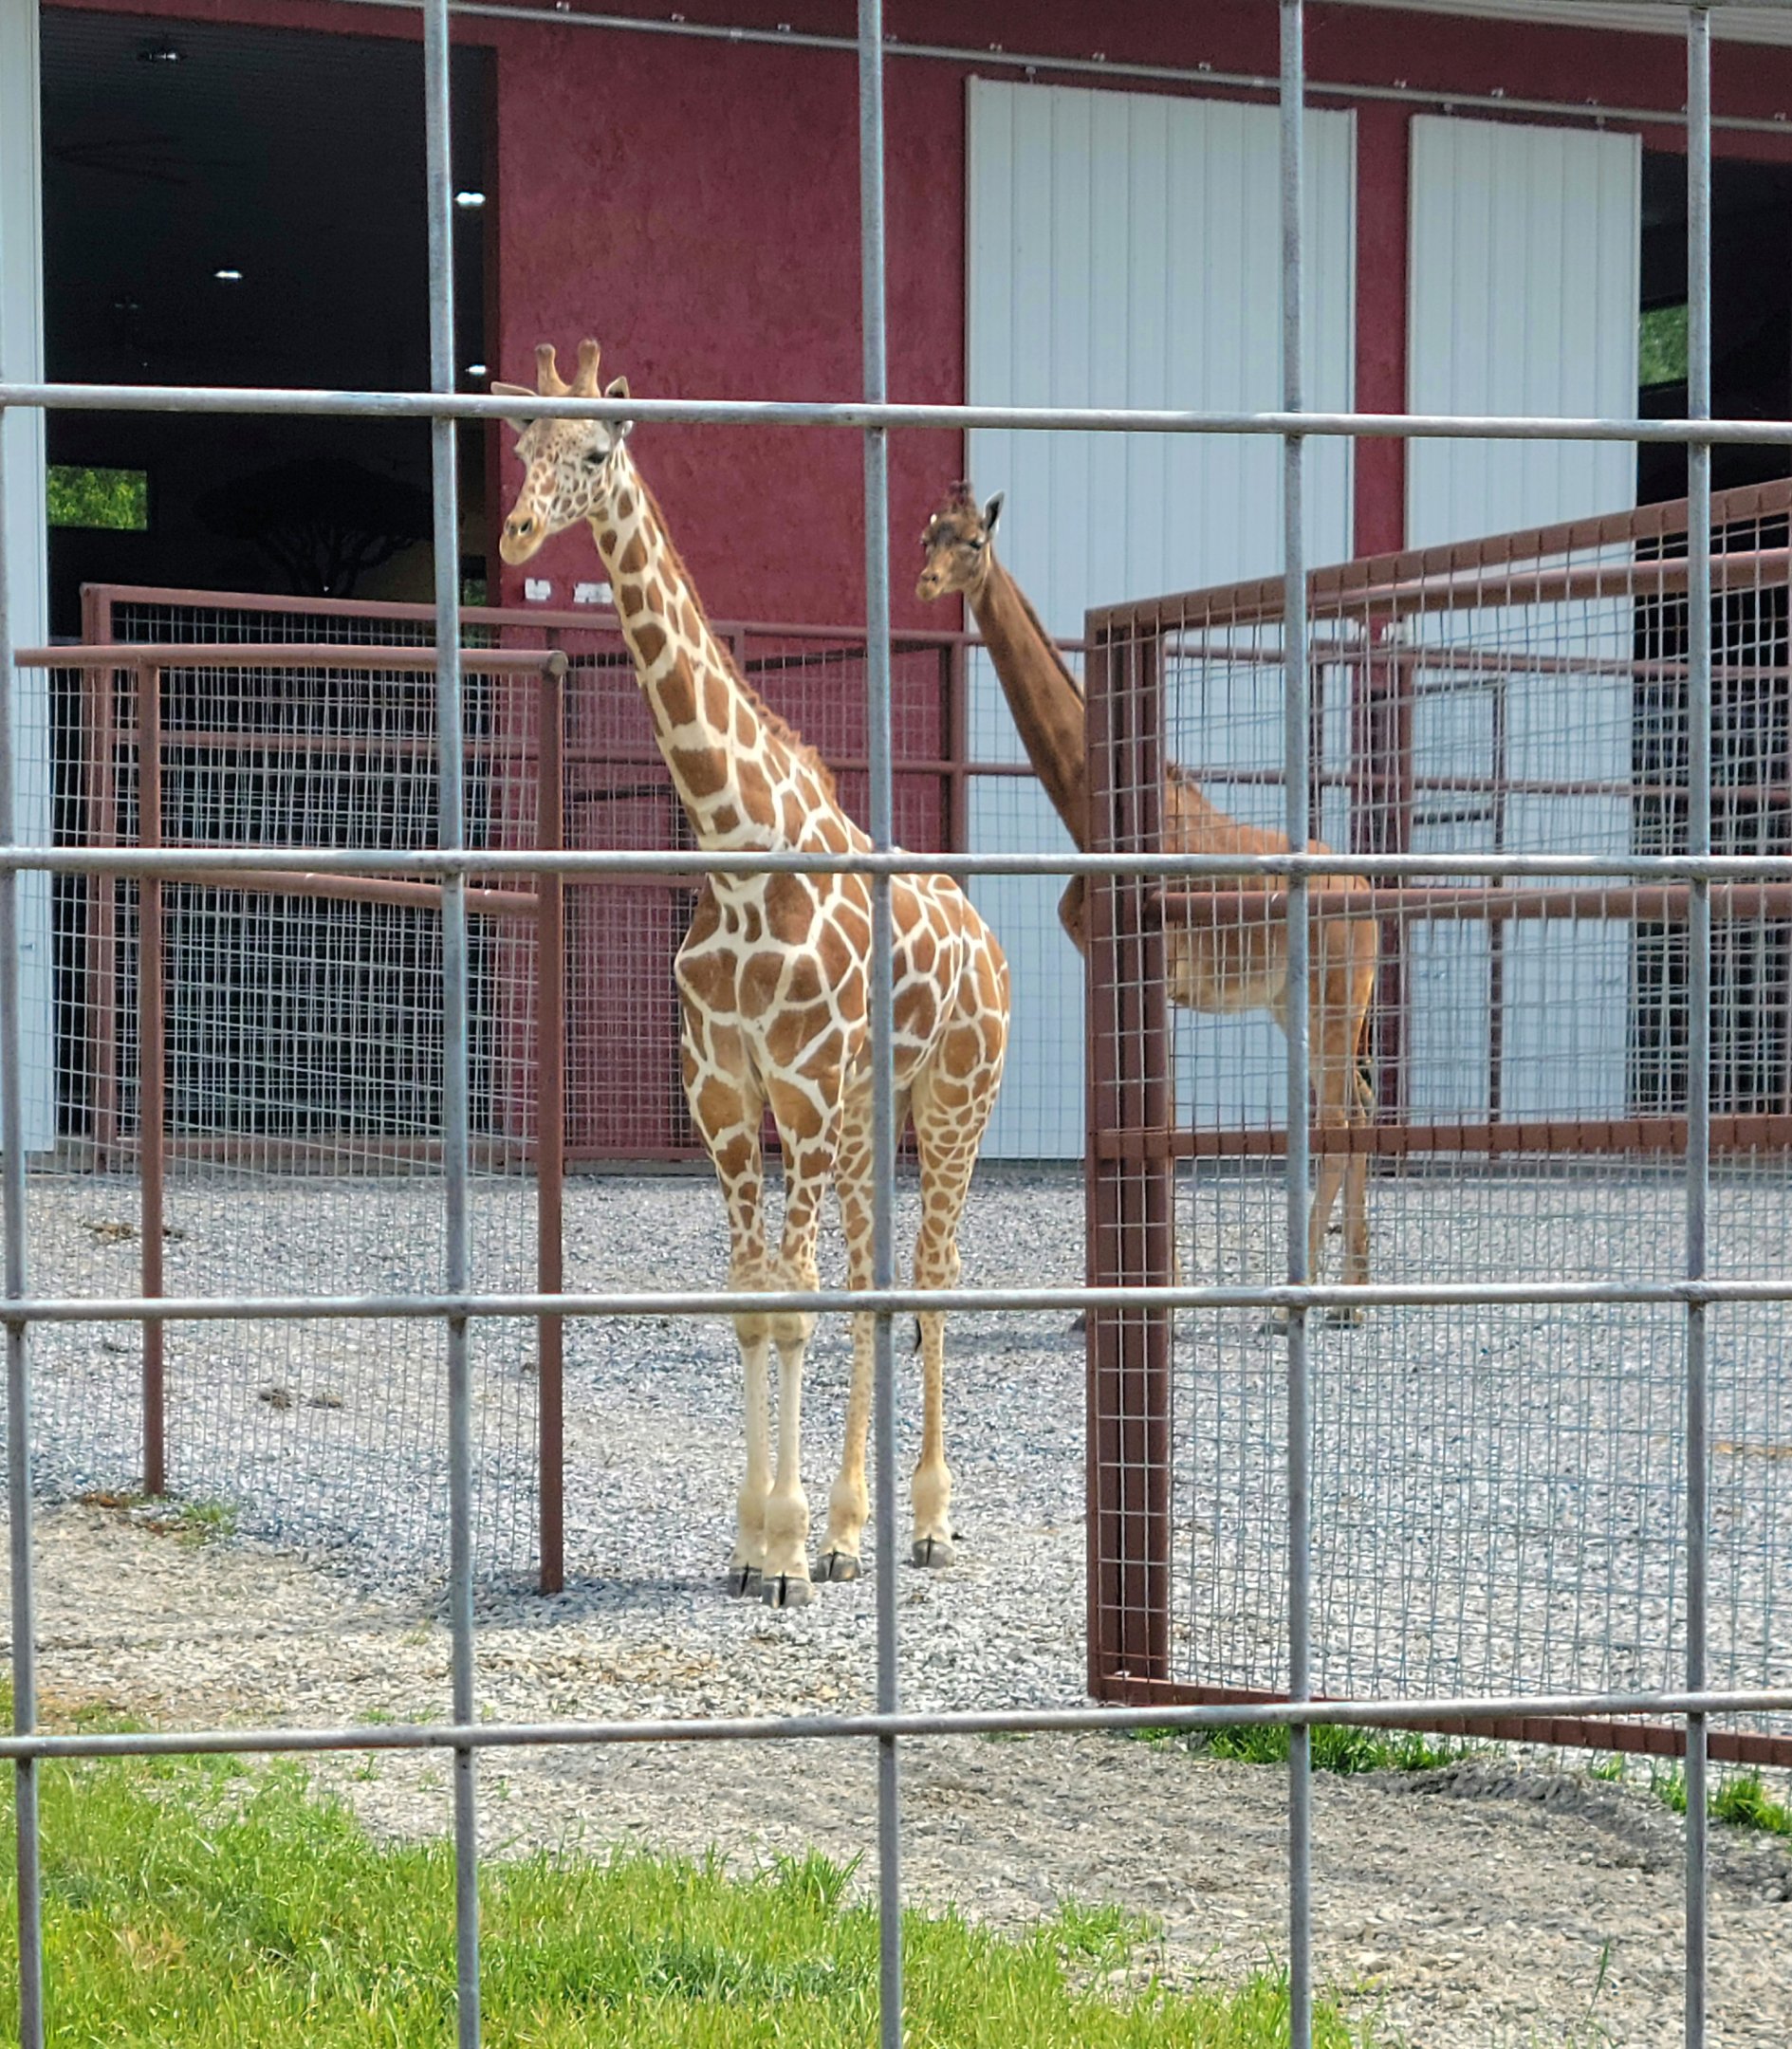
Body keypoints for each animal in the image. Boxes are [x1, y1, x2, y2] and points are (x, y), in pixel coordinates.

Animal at [496, 343, 1010, 1604]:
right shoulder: (724, 1093)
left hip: (952, 1102)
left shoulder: (805, 1091)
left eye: (596, 452)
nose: (519, 532)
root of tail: (988, 942)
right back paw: (851, 1531)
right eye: (521, 443)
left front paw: (779, 1550)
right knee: (880, 1280)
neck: (734, 853)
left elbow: (795, 1308)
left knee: (931, 1277)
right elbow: (749, 1305)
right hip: (878, 1115)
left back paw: (926, 1524)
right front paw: (755, 1542)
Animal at [917, 483, 1375, 1314]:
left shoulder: (1155, 975)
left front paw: (1162, 1289)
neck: (1090, 811)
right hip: (1299, 1004)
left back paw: (1311, 1294)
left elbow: (1154, 1116)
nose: (925, 583)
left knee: (1336, 1114)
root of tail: (1366, 892)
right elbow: (1124, 1116)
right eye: (925, 536)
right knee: (1355, 1104)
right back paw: (1353, 1290)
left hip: (1332, 998)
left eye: (973, 541)